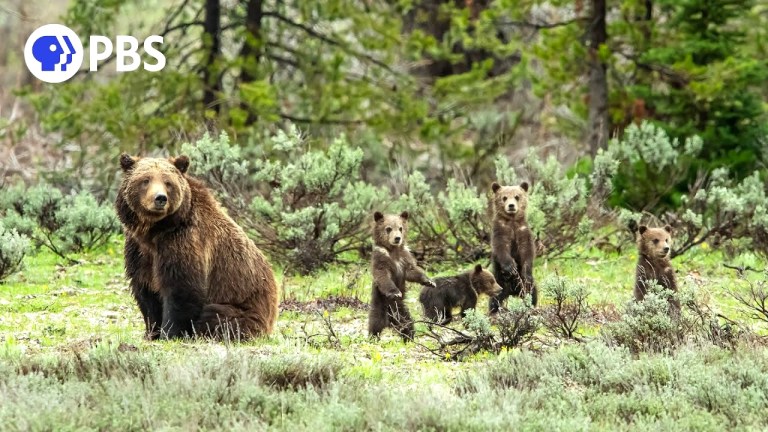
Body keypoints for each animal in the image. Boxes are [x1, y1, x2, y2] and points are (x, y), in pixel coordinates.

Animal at [115, 154, 278, 340]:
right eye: (145, 180)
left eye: (168, 182)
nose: (160, 198)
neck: (155, 231)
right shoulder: (139, 251)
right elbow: (146, 291)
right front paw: (151, 332)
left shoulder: (184, 241)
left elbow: (182, 289)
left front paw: (169, 333)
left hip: (244, 309)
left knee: (215, 316)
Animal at [368, 212, 436, 340]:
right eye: (388, 228)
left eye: (400, 228)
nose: (397, 238)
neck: (393, 251)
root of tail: (390, 321)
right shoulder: (382, 259)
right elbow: (383, 276)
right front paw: (395, 292)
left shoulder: (404, 258)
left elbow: (412, 271)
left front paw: (429, 281)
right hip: (379, 307)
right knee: (375, 324)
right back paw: (373, 337)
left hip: (401, 311)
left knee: (408, 325)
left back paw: (409, 337)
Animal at [488, 181, 536, 312]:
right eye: (504, 197)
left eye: (517, 196)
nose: (511, 206)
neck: (512, 221)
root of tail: (513, 291)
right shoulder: (501, 231)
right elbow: (501, 248)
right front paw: (511, 266)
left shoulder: (523, 232)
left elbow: (527, 251)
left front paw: (526, 271)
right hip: (499, 282)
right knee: (495, 298)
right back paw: (494, 310)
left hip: (525, 286)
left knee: (532, 292)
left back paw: (532, 305)